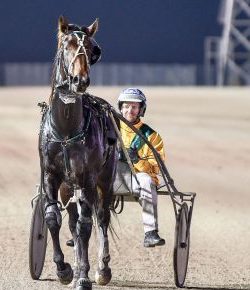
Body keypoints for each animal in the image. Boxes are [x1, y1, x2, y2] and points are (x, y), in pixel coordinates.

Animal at [39, 16, 117, 290]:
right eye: (67, 45)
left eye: (94, 50)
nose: (80, 80)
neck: (65, 130)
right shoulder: (51, 176)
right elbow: (53, 218)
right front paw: (64, 269)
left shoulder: (86, 179)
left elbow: (86, 226)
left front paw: (83, 275)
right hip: (67, 187)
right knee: (72, 220)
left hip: (104, 180)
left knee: (101, 217)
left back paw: (102, 269)